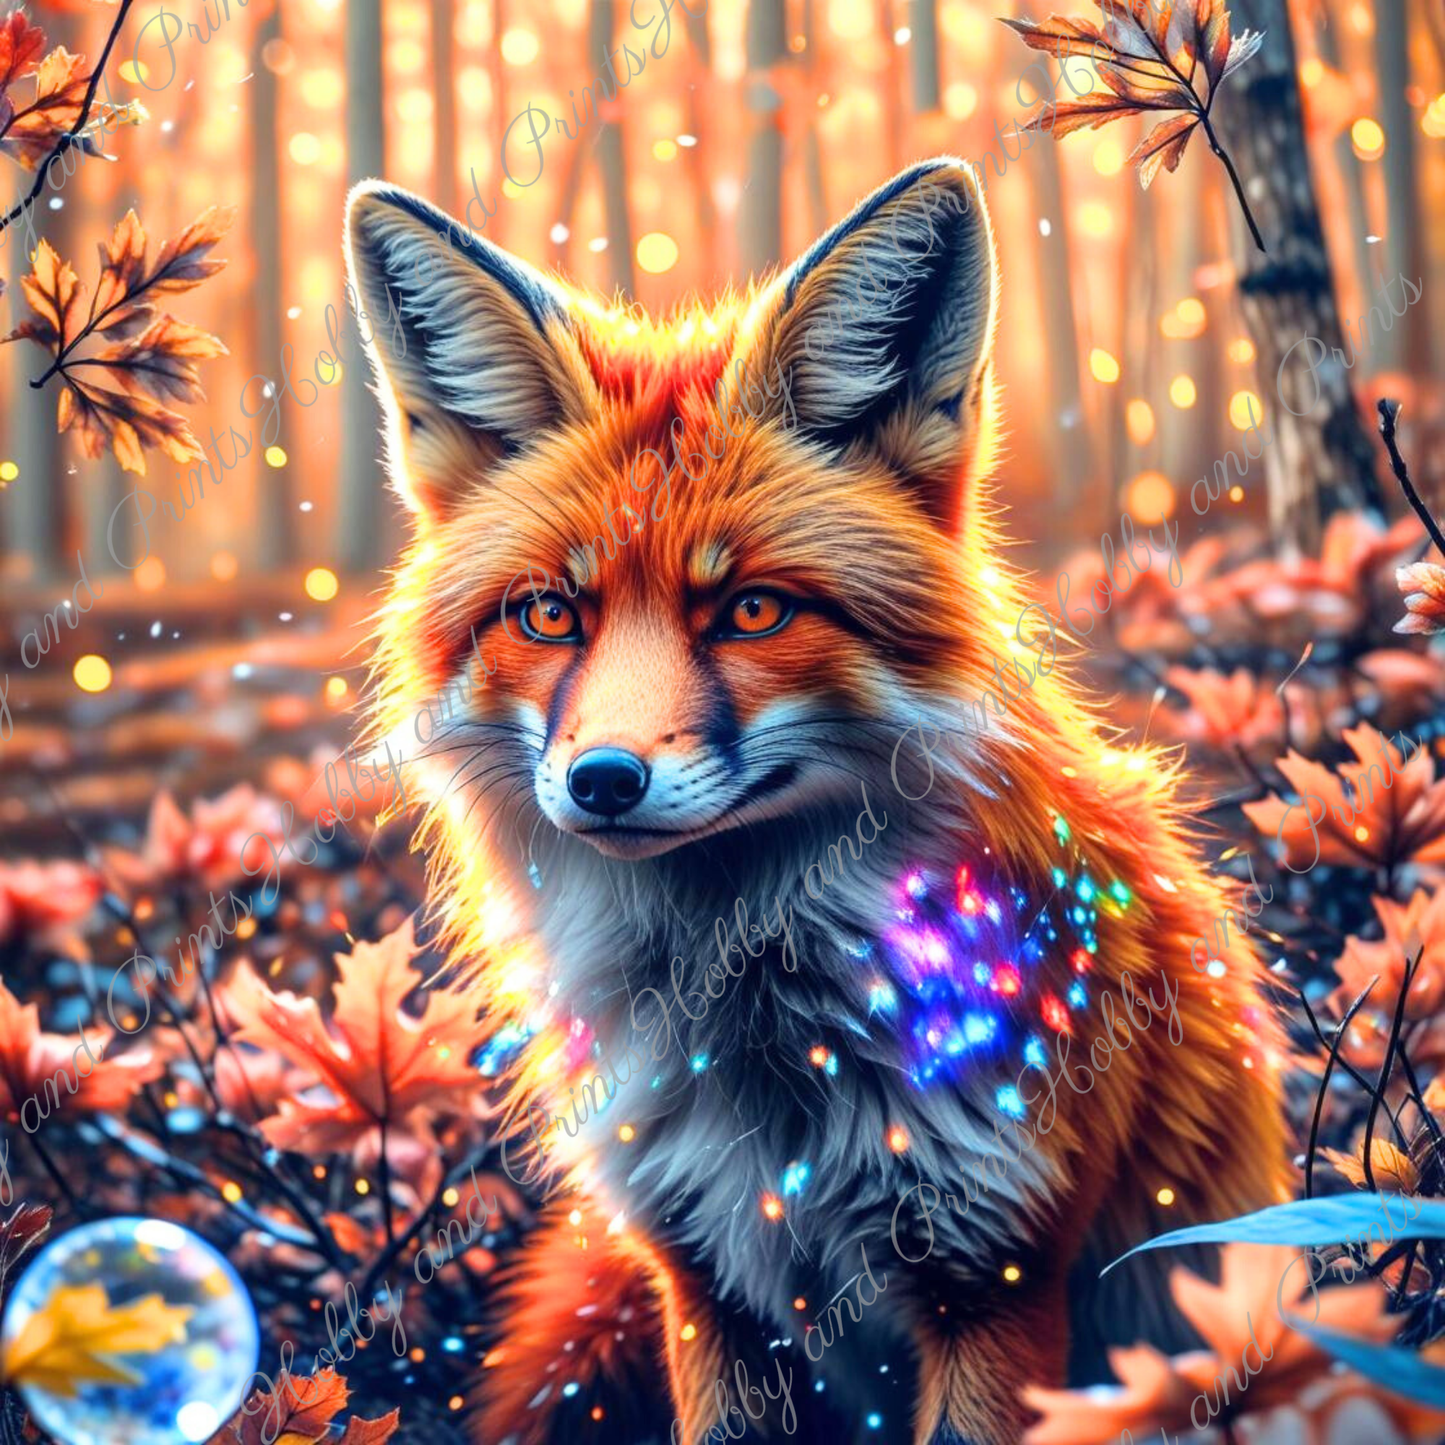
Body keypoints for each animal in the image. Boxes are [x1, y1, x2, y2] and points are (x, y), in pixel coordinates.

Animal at [343, 158, 1288, 1445]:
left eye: (751, 610)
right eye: (548, 614)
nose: (603, 780)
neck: (769, 1066)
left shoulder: (995, 1278)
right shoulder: (701, 1284)